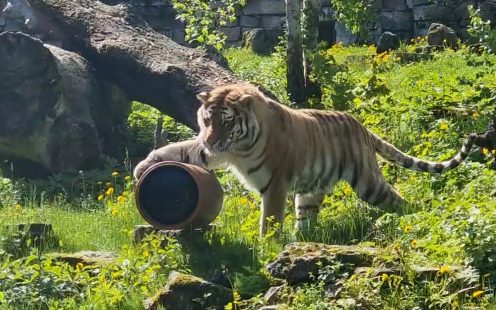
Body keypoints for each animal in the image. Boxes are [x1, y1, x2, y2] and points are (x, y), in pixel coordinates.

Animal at [135, 82, 476, 235]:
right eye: (207, 120)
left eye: (227, 121)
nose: (211, 139)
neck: (238, 147)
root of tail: (362, 128)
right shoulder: (211, 152)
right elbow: (178, 149)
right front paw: (143, 167)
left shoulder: (275, 183)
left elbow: (270, 218)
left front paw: (268, 245)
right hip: (310, 193)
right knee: (306, 220)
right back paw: (300, 241)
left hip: (369, 184)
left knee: (397, 200)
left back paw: (415, 217)